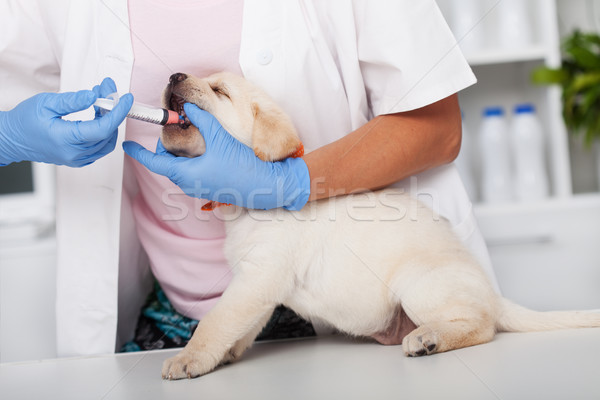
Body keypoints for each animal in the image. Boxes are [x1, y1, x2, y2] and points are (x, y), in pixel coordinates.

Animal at [158, 70, 600, 380]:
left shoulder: (258, 278)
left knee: (482, 325)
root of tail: (494, 296)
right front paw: (228, 353)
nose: (174, 75)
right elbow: (242, 326)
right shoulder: (258, 287)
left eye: (219, 91)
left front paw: (190, 357)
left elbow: (217, 320)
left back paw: (429, 337)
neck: (245, 205)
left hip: (418, 283)